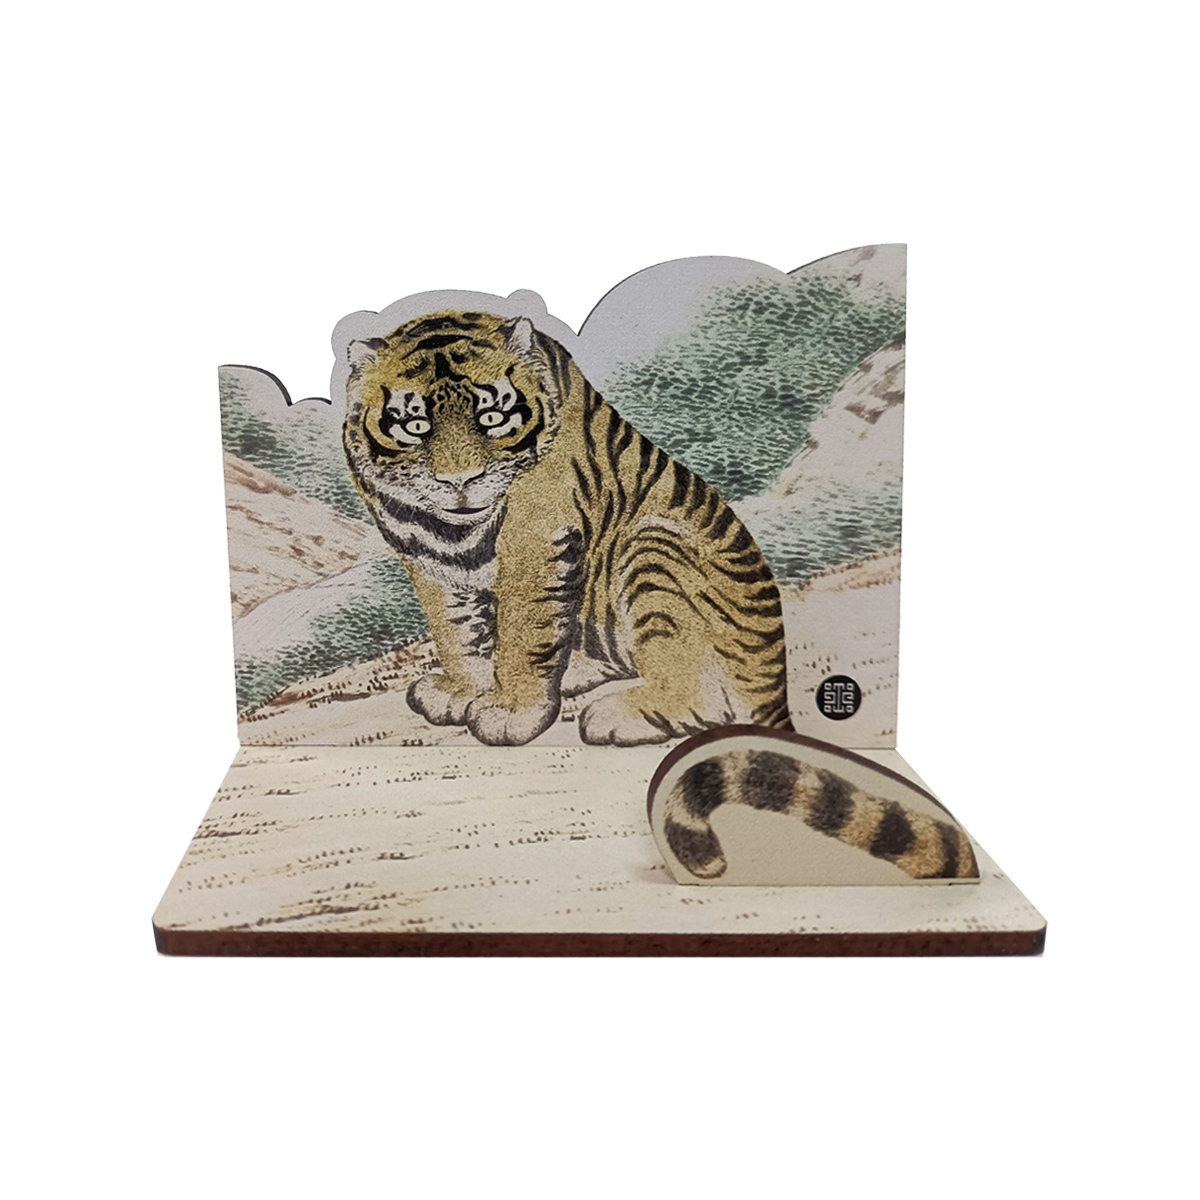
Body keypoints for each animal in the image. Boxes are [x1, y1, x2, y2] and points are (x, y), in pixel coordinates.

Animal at [342, 309, 791, 747]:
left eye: (491, 417)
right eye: (416, 426)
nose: (460, 481)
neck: (453, 533)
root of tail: (776, 677)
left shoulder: (534, 537)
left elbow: (522, 629)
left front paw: (511, 712)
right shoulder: (423, 555)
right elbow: (454, 630)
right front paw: (463, 690)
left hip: (651, 544)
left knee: (701, 694)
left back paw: (611, 715)